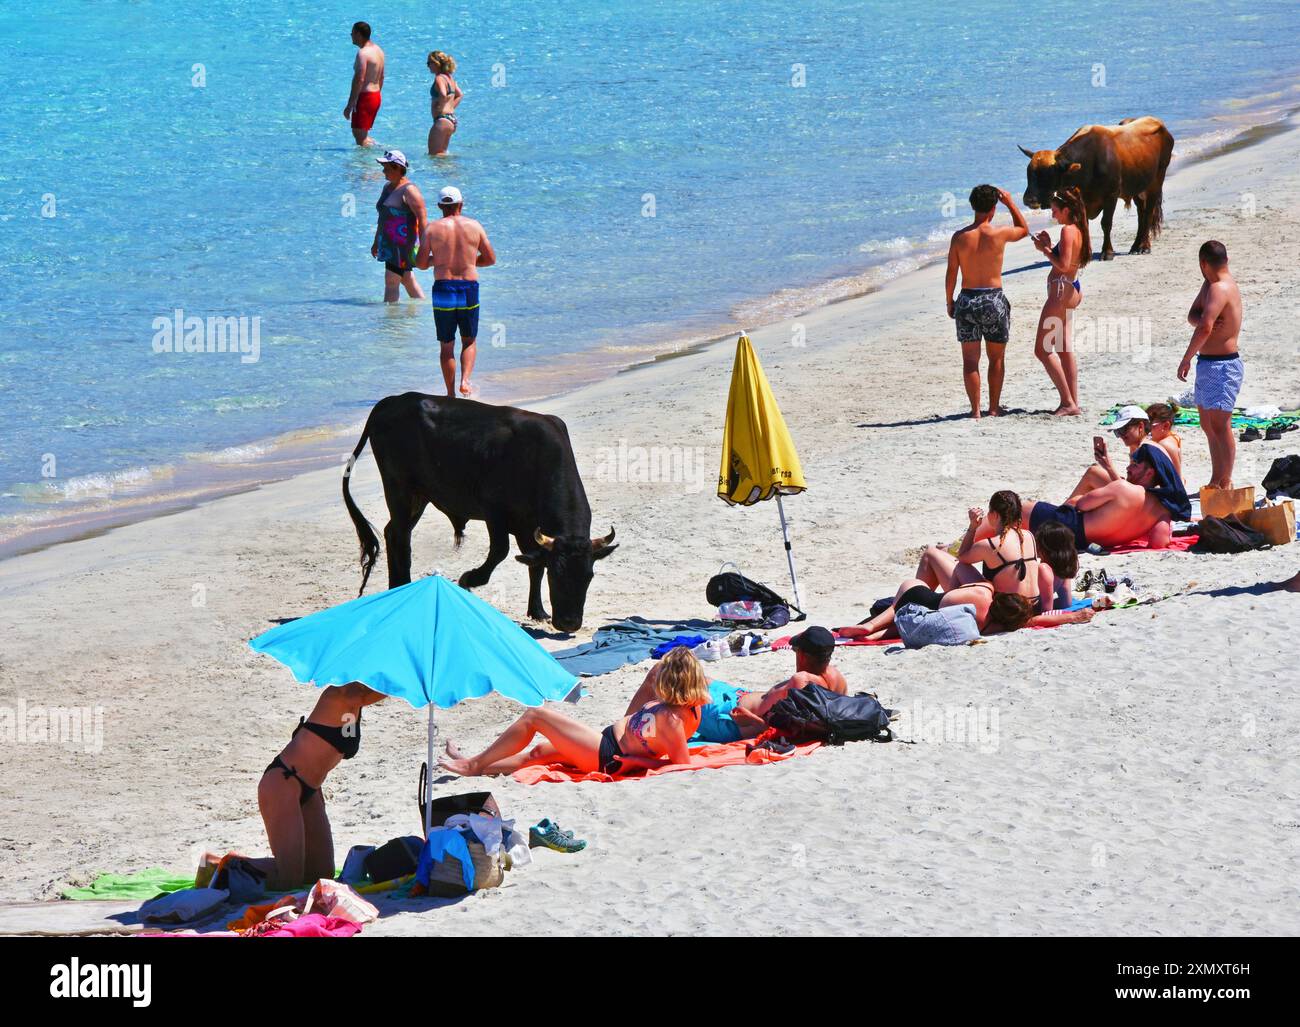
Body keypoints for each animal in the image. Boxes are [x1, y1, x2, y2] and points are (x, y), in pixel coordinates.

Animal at [340, 395, 613, 634]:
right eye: (556, 575)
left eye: (589, 576)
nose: (570, 624)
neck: (537, 458)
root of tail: (391, 401)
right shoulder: (495, 511)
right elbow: (501, 551)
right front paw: (469, 579)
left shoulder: (528, 527)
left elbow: (533, 564)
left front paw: (537, 611)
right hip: (399, 488)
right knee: (400, 536)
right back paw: (401, 585)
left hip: (420, 495)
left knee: (393, 532)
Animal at [1013, 116, 1180, 261]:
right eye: (1029, 173)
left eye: (1047, 174)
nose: (1028, 200)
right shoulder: (1081, 200)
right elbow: (1083, 225)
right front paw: (1084, 253)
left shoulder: (1111, 195)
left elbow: (1106, 223)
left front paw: (1107, 252)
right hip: (1137, 188)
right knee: (1142, 213)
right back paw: (1135, 246)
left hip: (1156, 181)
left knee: (1149, 212)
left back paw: (1144, 246)